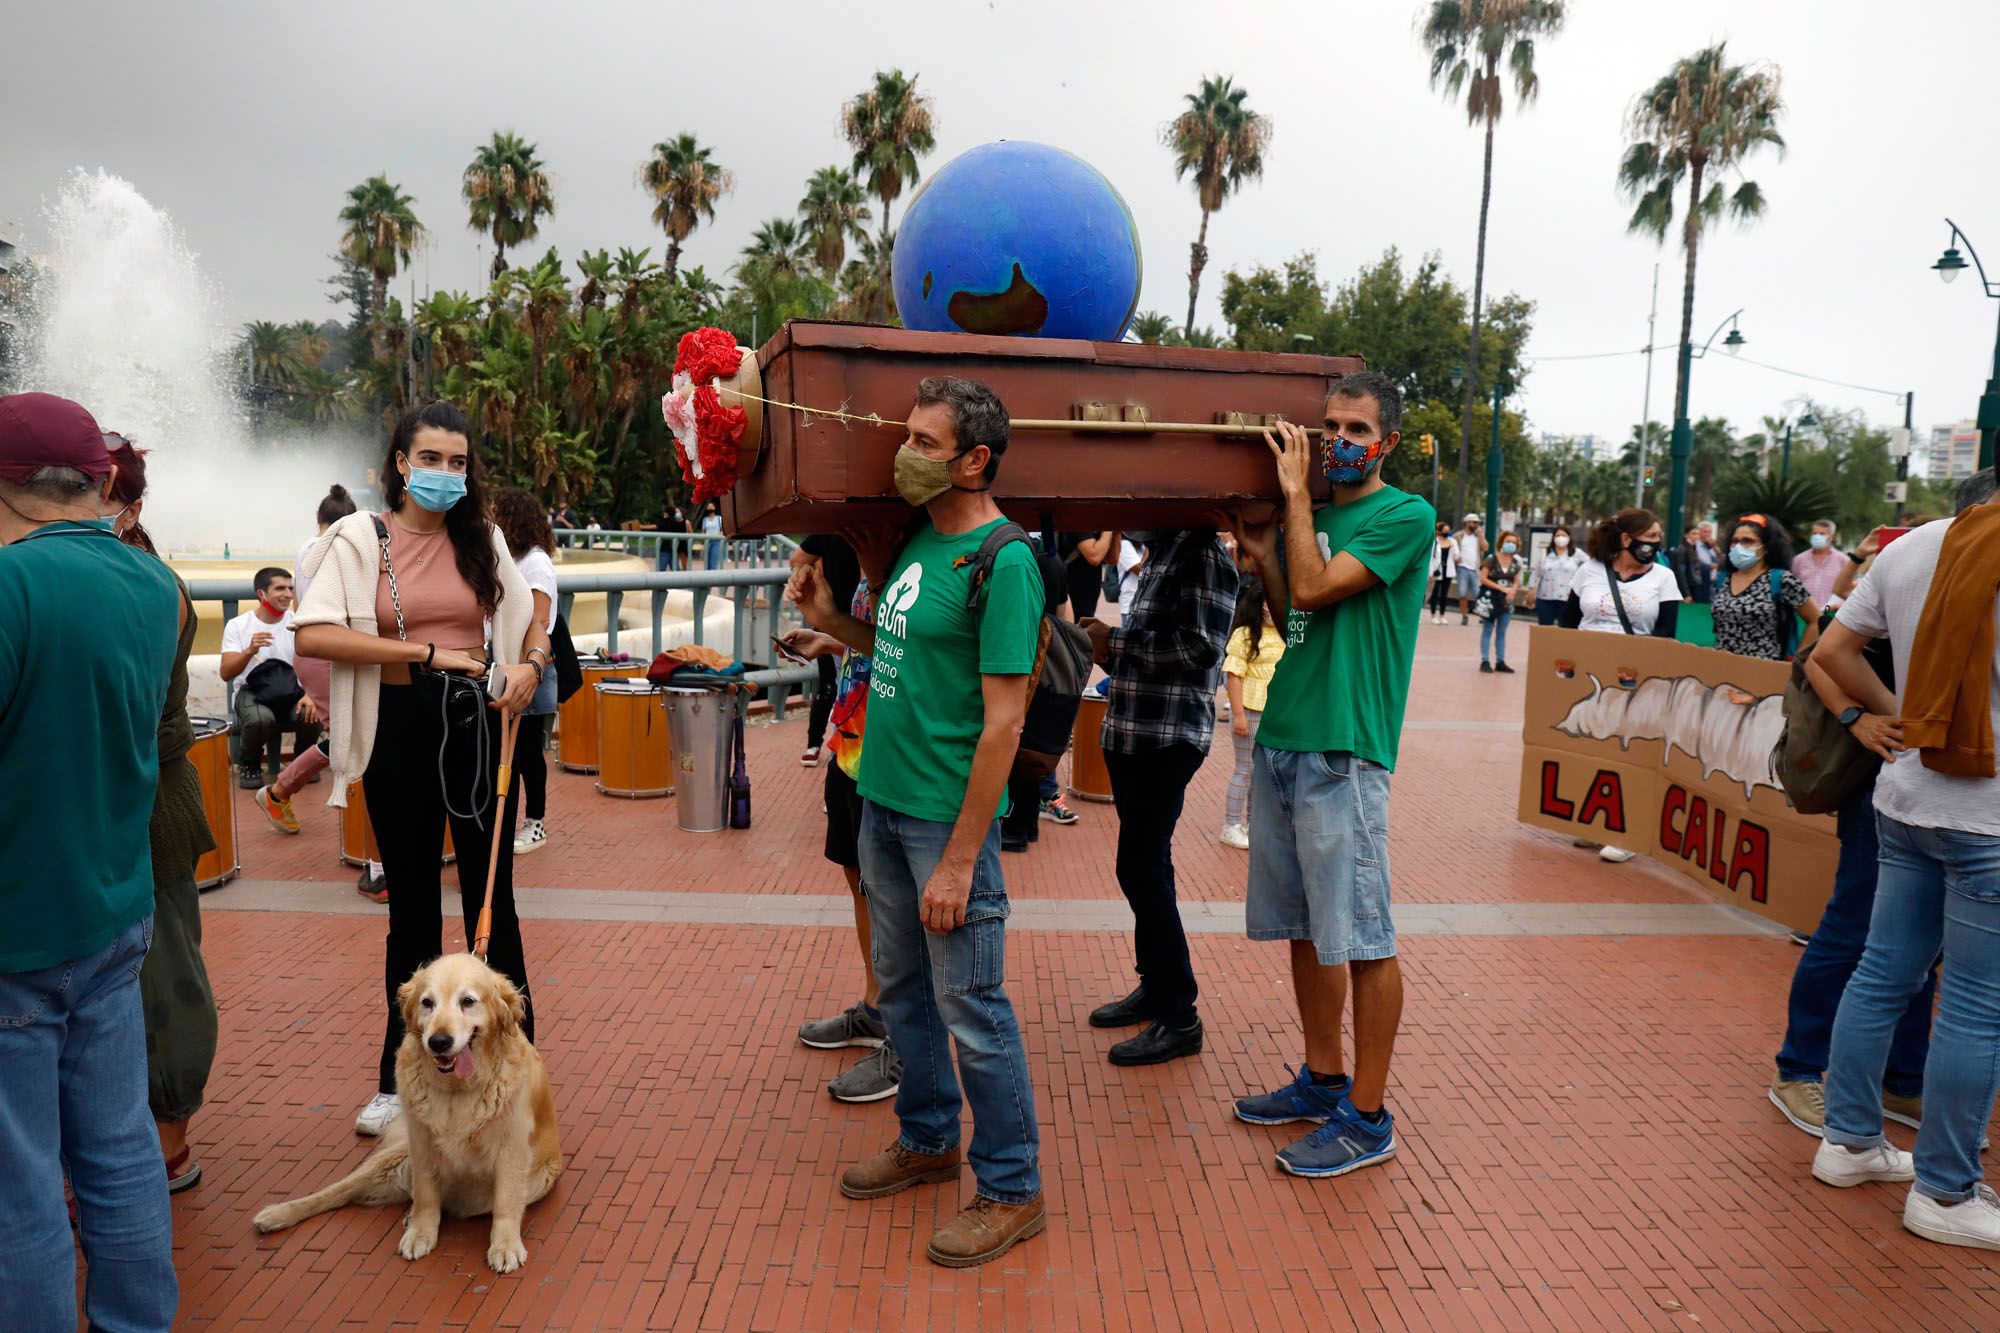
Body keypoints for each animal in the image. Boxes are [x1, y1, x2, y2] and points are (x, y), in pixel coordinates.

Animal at [252, 948, 564, 1272]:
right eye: (428, 1003)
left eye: (467, 1001)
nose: (439, 1041)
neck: (456, 1090)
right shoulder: (422, 1143)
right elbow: (426, 1196)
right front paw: (420, 1233)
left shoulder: (511, 1148)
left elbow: (506, 1201)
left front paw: (505, 1246)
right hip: (392, 1161)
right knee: (338, 1191)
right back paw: (276, 1214)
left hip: (539, 1179)